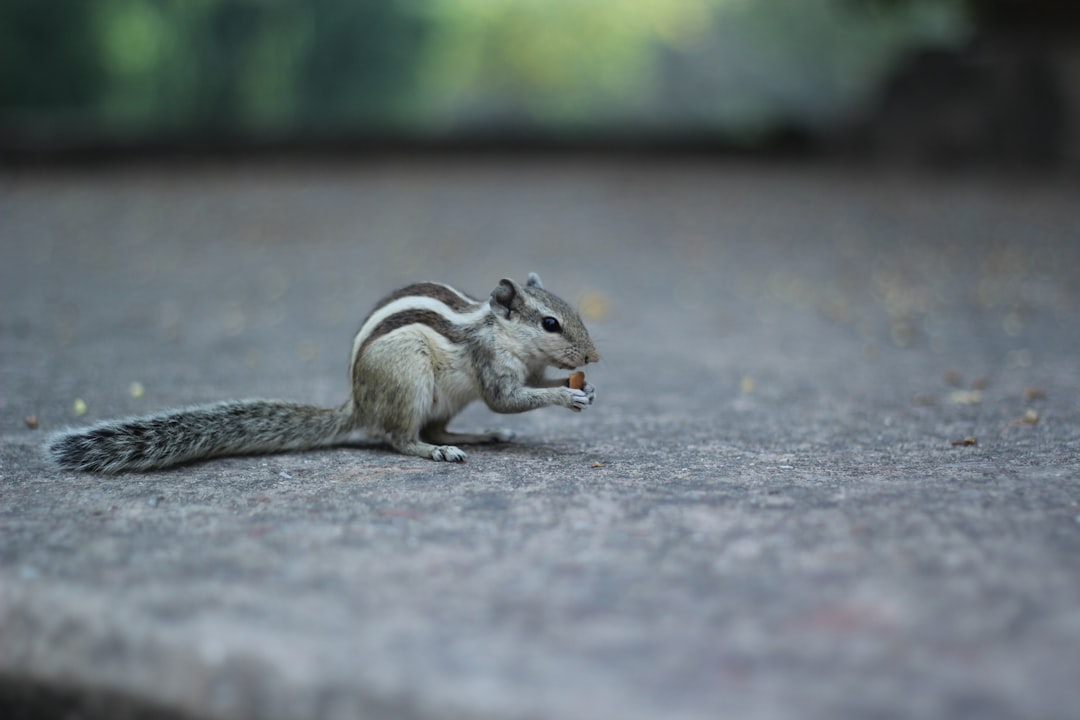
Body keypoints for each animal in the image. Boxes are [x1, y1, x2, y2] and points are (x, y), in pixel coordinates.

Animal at [46, 272, 600, 472]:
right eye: (550, 323)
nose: (593, 357)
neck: (497, 330)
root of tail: (359, 403)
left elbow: (528, 390)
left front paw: (578, 389)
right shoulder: (491, 364)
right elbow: (508, 399)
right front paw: (566, 396)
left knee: (437, 426)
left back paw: (475, 437)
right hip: (409, 380)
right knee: (401, 438)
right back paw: (435, 451)